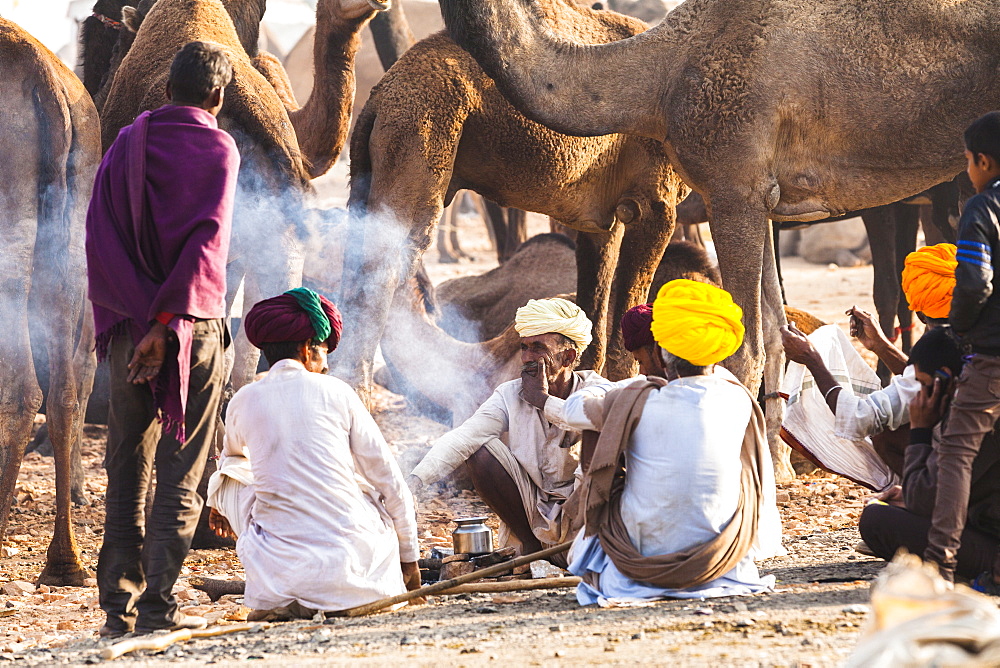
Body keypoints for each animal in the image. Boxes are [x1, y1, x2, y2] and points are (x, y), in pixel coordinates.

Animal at [336, 0, 688, 410]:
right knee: (387, 263)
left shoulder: (601, 219)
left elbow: (594, 314)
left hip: (374, 162)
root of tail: (377, 99)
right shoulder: (655, 201)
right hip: (419, 133)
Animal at [442, 0, 1000, 474]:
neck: (661, 76)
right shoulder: (765, 197)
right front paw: (777, 467)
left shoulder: (734, 187)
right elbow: (774, 332)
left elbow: (743, 348)